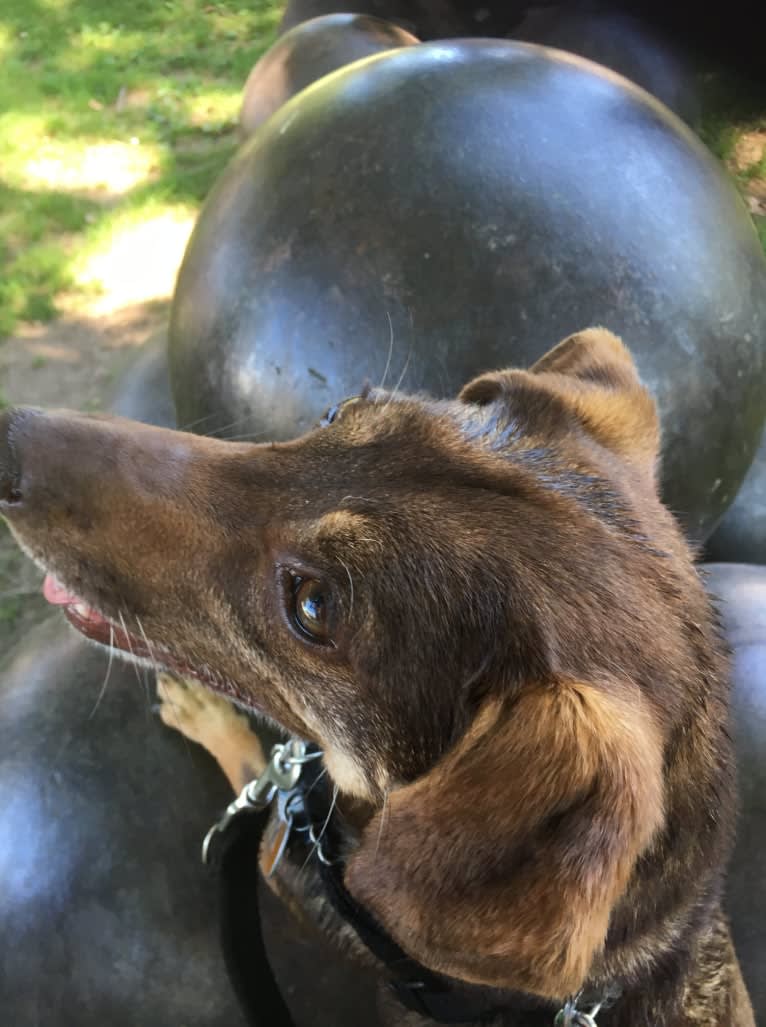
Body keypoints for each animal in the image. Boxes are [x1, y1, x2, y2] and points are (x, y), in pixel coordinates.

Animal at [0, 330, 751, 1027]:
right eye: (336, 412)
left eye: (312, 604)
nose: (8, 435)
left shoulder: (279, 850)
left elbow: (253, 769)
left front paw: (205, 713)